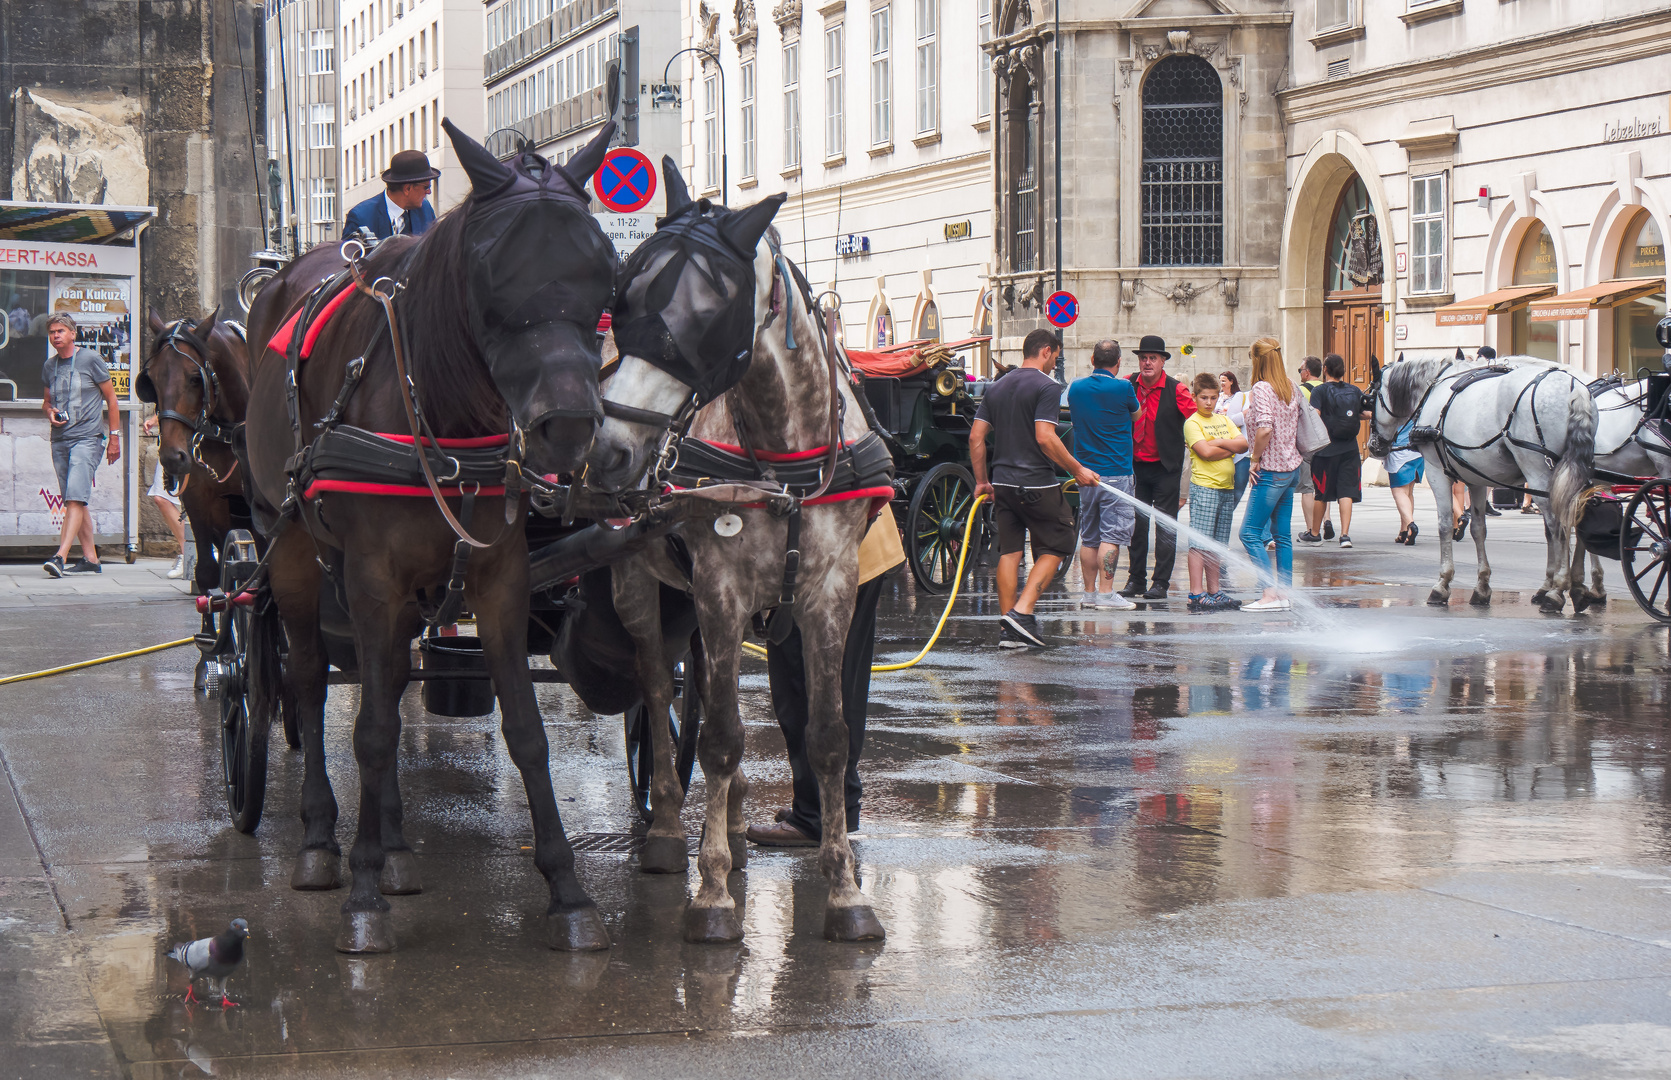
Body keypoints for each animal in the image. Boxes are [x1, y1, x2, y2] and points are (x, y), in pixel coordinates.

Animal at [237, 122, 621, 962]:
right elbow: (371, 729)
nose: (568, 427)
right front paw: (362, 896)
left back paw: (395, 844)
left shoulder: (497, 575)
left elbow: (524, 730)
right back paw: (323, 842)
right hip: (294, 553)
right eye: (493, 274)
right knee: (311, 680)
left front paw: (568, 891)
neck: (440, 408)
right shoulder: (371, 574)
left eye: (603, 271)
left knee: (383, 678)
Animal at [584, 167, 882, 936]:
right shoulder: (719, 588)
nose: (608, 451)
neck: (780, 457)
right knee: (658, 690)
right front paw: (712, 891)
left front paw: (845, 890)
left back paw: (739, 820)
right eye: (622, 297)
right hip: (638, 584)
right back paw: (666, 827)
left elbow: (828, 736)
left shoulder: (828, 590)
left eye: (705, 312)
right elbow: (717, 734)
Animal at [1363, 352, 1597, 615]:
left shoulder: (1436, 472)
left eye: (1369, 399)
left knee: (1558, 525)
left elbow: (1444, 525)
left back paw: (1557, 591)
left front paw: (1442, 584)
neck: (1432, 390)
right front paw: (1482, 586)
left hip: (1538, 473)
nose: (1373, 446)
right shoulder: (1476, 479)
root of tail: (1574, 387)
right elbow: (1478, 529)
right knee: (1579, 516)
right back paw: (1578, 589)